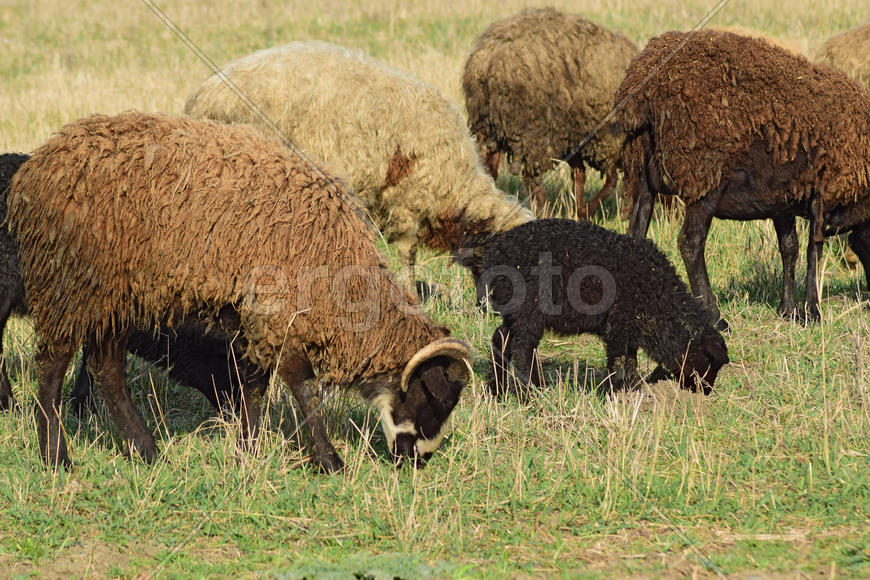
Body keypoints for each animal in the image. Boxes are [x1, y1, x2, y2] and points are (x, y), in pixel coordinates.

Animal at [6, 110, 470, 472]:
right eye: (436, 397)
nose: (418, 461)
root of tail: (37, 167)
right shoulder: (278, 314)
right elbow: (303, 389)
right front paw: (328, 460)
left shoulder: (256, 319)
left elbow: (255, 386)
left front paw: (246, 452)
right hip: (69, 284)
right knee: (51, 368)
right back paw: (57, 458)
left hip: (116, 298)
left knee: (107, 370)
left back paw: (149, 452)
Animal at [456, 219, 728, 398]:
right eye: (710, 361)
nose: (704, 393)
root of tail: (493, 256)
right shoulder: (618, 324)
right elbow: (619, 360)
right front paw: (616, 394)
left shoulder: (630, 327)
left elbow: (630, 359)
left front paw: (631, 392)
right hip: (529, 309)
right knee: (522, 348)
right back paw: (530, 393)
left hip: (515, 311)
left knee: (501, 339)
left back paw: (498, 389)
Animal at [464, 8, 640, 218]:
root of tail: (486, 60)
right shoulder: (605, 140)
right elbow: (610, 180)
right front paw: (585, 212)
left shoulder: (577, 137)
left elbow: (579, 174)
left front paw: (579, 210)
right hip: (532, 130)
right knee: (531, 176)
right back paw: (546, 212)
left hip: (489, 126)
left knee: (489, 167)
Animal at [616, 30, 870, 330]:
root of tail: (642, 90)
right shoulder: (823, 192)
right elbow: (813, 249)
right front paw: (813, 313)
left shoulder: (783, 197)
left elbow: (790, 247)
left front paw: (789, 310)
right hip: (704, 178)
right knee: (690, 243)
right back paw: (714, 317)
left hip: (643, 177)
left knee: (635, 236)